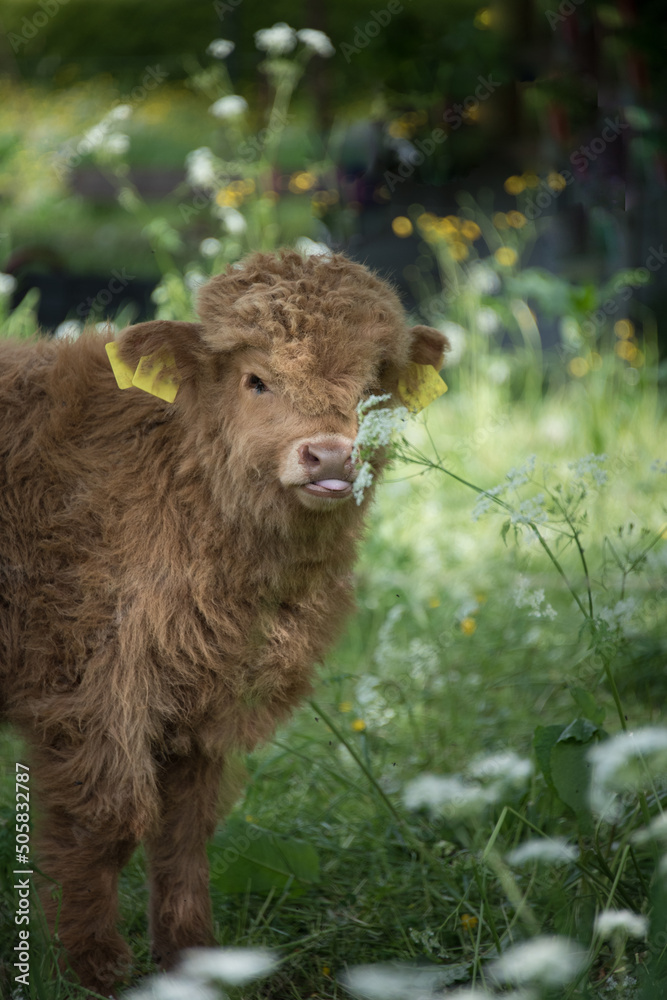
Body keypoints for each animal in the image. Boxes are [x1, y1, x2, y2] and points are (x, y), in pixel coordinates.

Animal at [1, 250, 448, 992]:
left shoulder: (200, 702)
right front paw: (95, 968)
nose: (331, 455)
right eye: (256, 379)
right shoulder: (87, 697)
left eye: (369, 385)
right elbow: (106, 822)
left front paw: (196, 960)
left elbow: (182, 831)